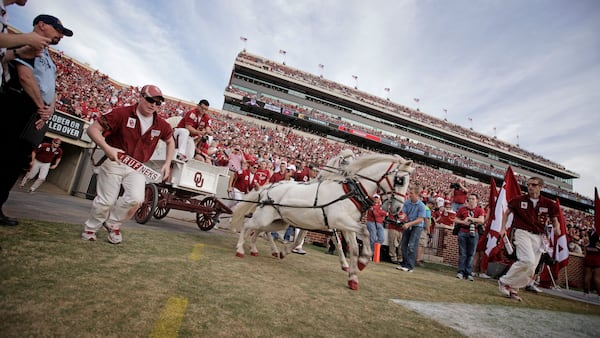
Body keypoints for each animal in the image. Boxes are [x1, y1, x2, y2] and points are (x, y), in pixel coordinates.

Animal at [230, 153, 412, 290]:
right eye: (400, 180)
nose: (397, 209)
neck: (349, 192)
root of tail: (267, 188)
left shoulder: (347, 226)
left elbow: (353, 247)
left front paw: (353, 275)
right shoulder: (339, 221)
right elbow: (365, 231)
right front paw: (363, 262)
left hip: (279, 221)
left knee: (261, 230)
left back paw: (256, 249)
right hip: (265, 217)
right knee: (248, 225)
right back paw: (240, 249)